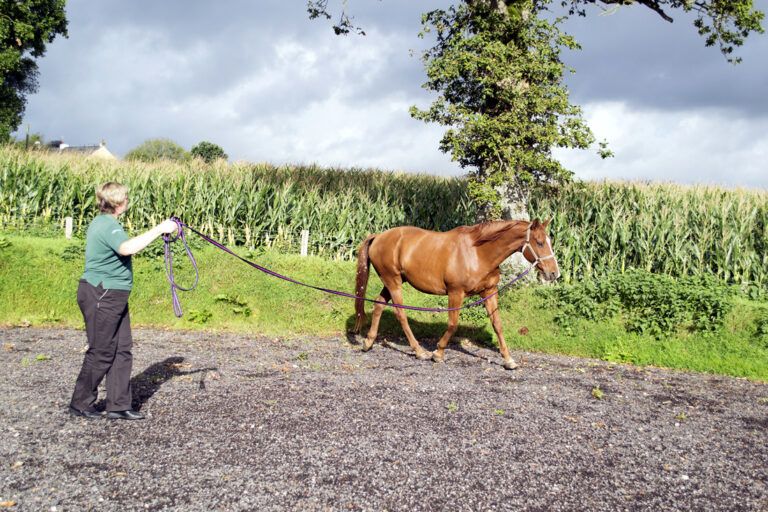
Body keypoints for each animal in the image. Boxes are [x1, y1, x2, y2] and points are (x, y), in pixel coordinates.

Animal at [353, 218, 560, 369]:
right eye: (540, 242)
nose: (554, 273)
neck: (478, 253)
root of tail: (378, 236)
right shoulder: (456, 293)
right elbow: (453, 324)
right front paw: (438, 353)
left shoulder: (489, 292)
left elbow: (497, 325)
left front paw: (508, 360)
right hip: (393, 282)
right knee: (400, 313)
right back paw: (419, 351)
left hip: (392, 282)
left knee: (379, 304)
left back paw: (368, 342)